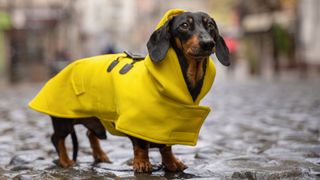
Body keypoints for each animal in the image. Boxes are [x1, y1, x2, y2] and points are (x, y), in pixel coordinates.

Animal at [28, 8, 228, 173]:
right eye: (184, 25)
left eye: (210, 25)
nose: (208, 43)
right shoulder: (137, 122)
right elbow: (140, 145)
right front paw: (142, 163)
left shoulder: (166, 124)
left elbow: (166, 146)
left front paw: (171, 163)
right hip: (64, 120)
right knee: (57, 139)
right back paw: (65, 161)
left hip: (96, 119)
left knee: (89, 133)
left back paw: (100, 156)